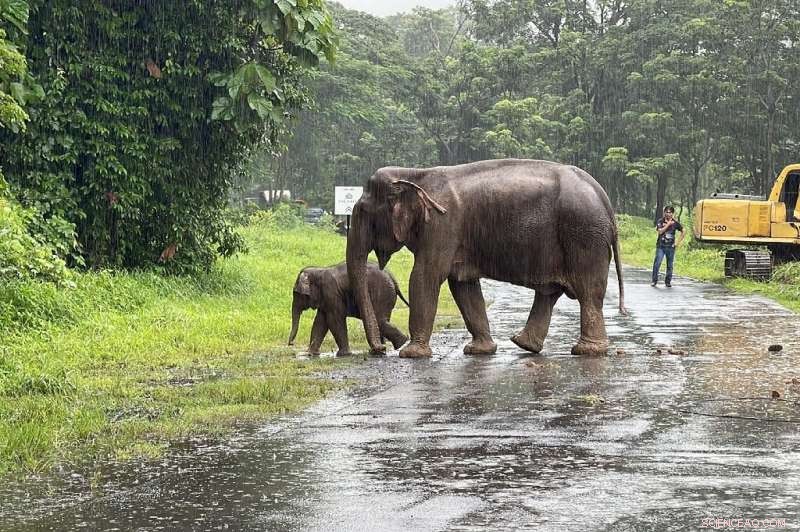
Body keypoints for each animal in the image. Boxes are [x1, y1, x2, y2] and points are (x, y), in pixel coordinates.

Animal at [345, 158, 626, 359]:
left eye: (364, 212)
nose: (379, 350)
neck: (414, 174)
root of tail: (604, 198)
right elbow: (463, 286)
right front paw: (479, 351)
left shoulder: (442, 226)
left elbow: (425, 277)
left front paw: (411, 354)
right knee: (551, 292)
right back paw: (525, 344)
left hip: (583, 236)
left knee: (588, 292)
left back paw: (586, 351)